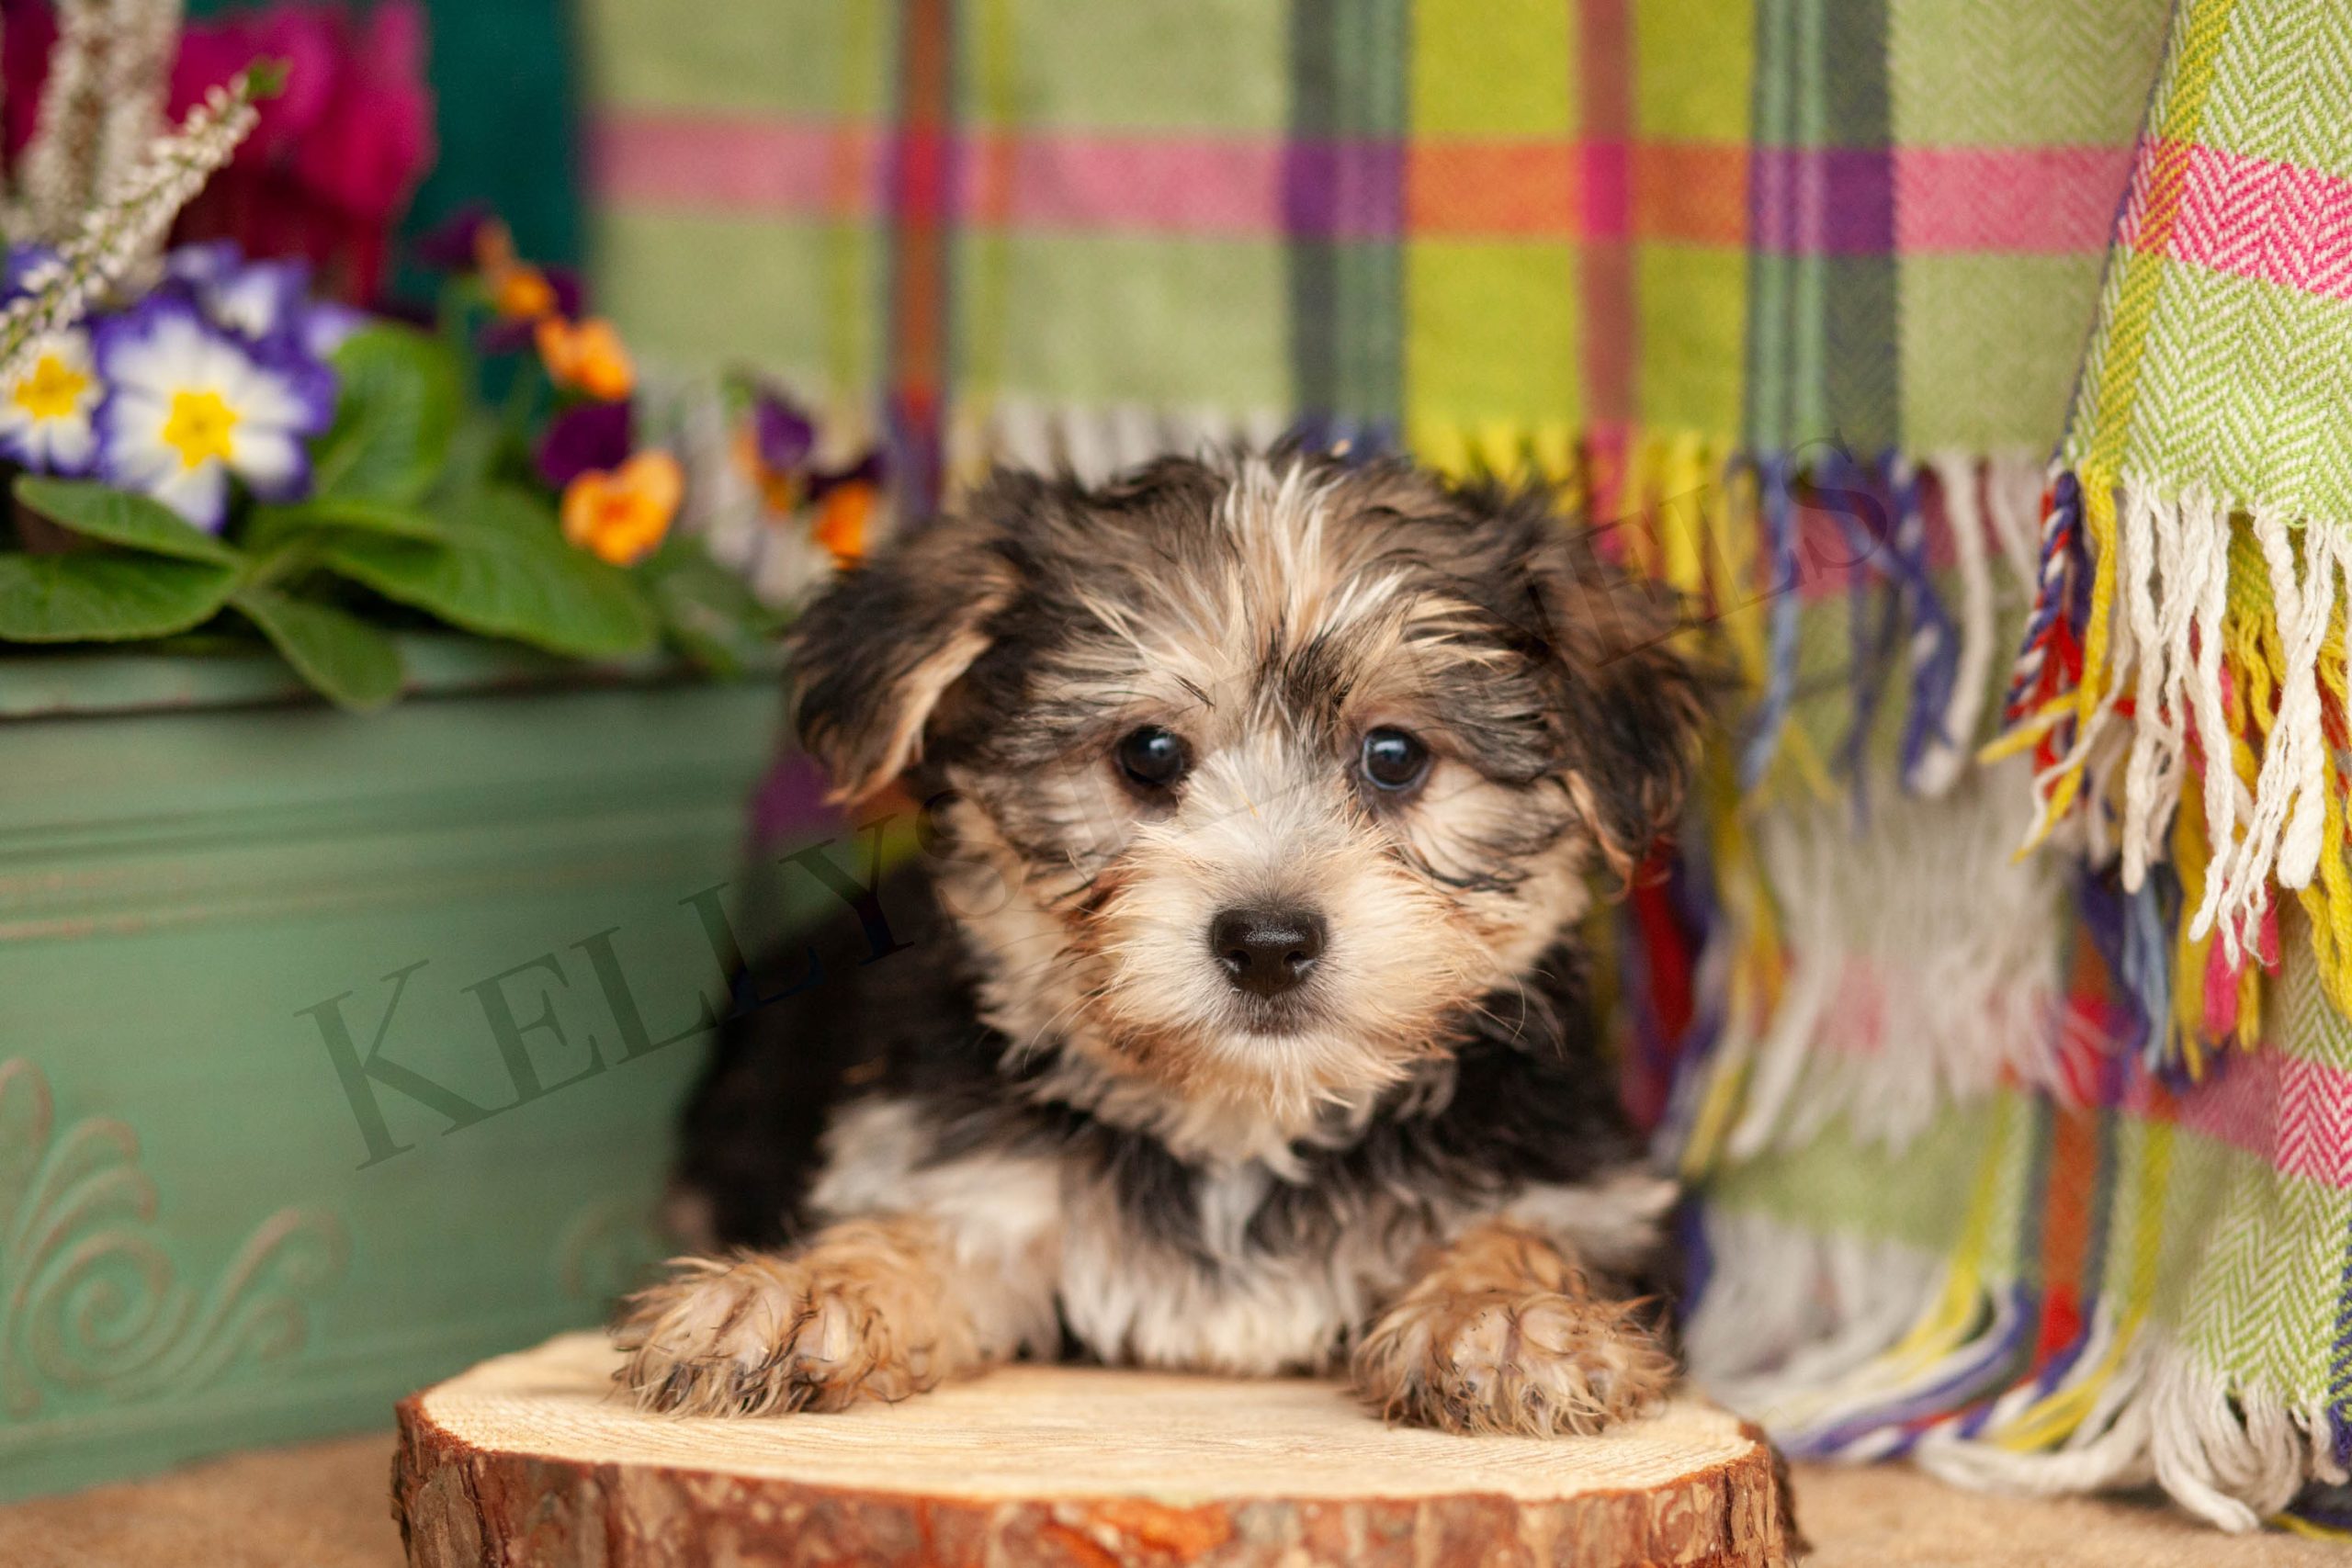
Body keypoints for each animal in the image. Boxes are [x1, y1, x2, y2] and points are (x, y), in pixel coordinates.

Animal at [615, 447, 1709, 1437]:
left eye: (1394, 756)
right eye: (1147, 755)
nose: (1266, 940)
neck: (1241, 1121)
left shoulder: (1591, 1193)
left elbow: (1528, 1231)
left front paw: (1503, 1315)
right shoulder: (970, 1180)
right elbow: (909, 1235)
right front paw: (796, 1295)